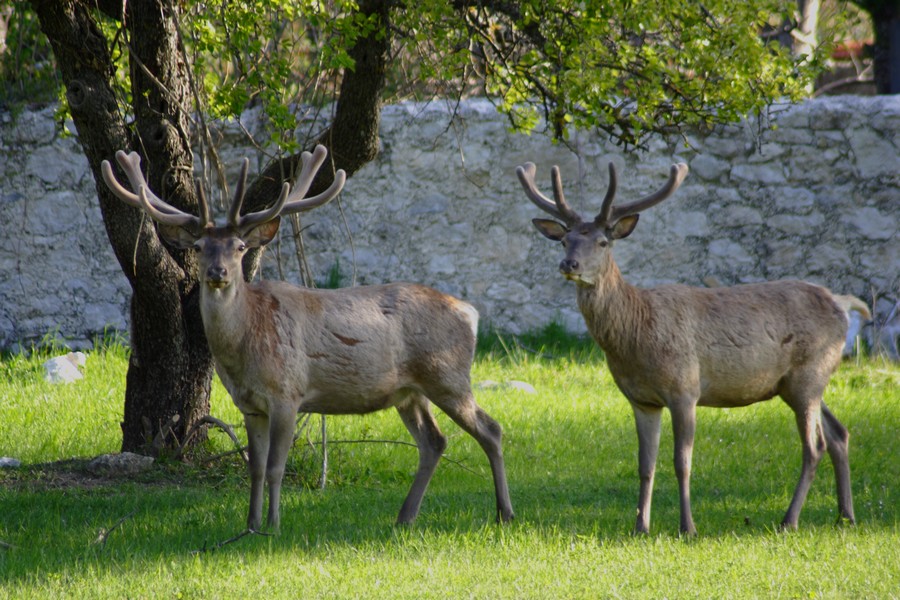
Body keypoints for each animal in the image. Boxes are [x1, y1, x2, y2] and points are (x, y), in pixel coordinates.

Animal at [102, 148, 512, 532]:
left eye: (239, 247)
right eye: (199, 247)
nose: (218, 273)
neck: (244, 350)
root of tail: (470, 313)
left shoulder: (288, 392)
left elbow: (275, 467)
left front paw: (273, 525)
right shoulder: (249, 406)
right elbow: (254, 468)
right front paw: (250, 524)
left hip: (447, 374)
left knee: (491, 429)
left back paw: (503, 512)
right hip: (408, 392)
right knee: (434, 441)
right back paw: (405, 516)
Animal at [516, 159, 856, 536]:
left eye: (603, 242)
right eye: (565, 241)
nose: (569, 264)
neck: (636, 337)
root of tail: (841, 307)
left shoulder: (685, 388)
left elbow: (682, 462)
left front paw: (687, 527)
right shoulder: (641, 400)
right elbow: (644, 464)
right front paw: (640, 527)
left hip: (809, 373)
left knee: (814, 445)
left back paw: (789, 520)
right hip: (800, 382)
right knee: (839, 433)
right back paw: (845, 515)